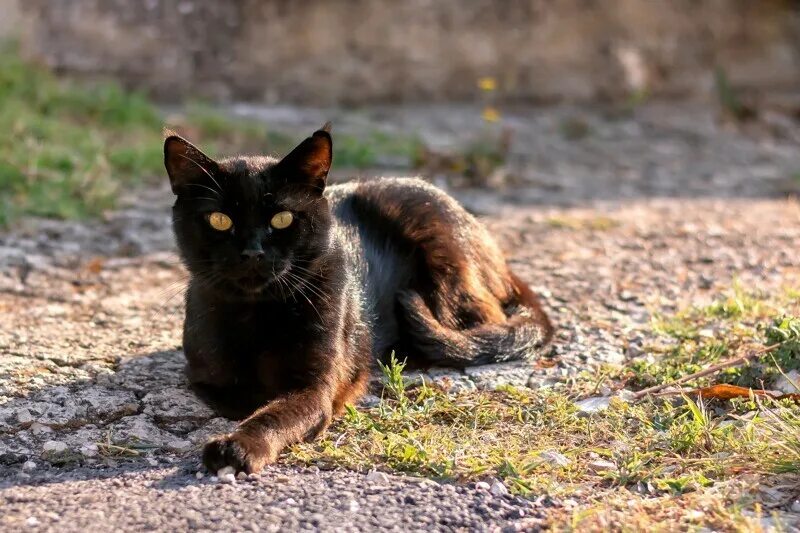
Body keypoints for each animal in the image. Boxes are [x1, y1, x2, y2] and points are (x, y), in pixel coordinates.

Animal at [162, 122, 552, 472]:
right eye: (219, 220)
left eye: (283, 218)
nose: (253, 252)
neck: (256, 313)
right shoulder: (205, 375)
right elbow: (240, 395)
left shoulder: (314, 388)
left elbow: (271, 414)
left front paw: (237, 446)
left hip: (444, 263)